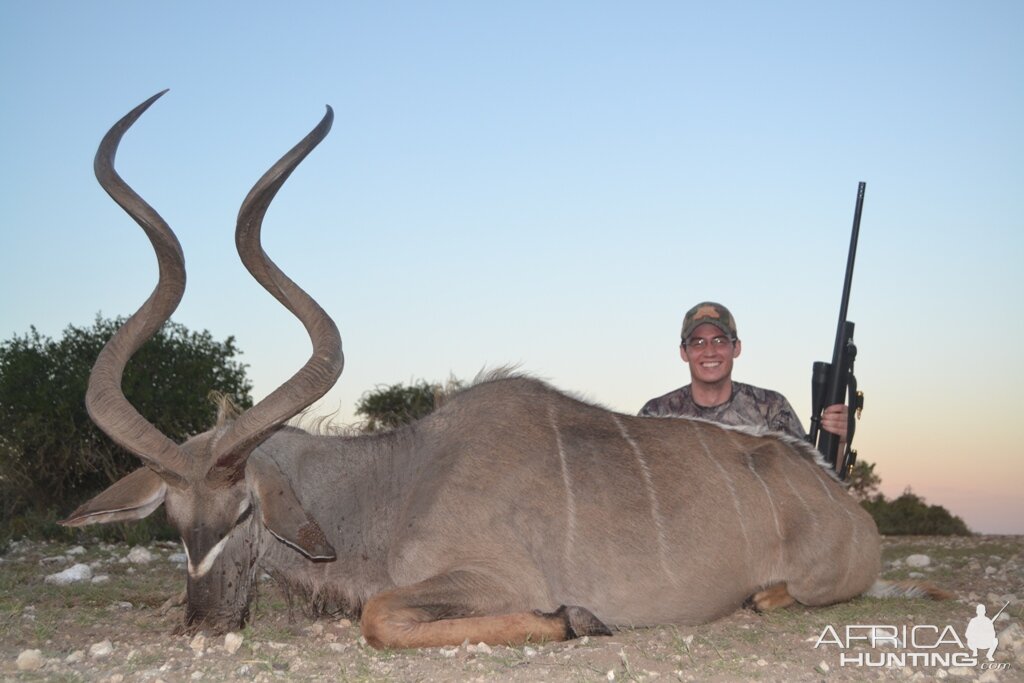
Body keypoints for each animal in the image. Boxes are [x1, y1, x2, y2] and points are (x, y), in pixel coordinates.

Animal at [61, 92, 880, 651]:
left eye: (242, 514)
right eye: (173, 521)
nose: (201, 623)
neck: (397, 482)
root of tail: (850, 509)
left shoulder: (489, 579)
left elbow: (379, 614)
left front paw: (577, 617)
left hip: (825, 580)